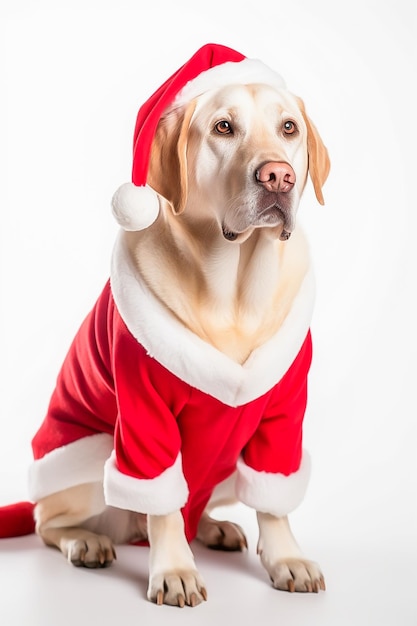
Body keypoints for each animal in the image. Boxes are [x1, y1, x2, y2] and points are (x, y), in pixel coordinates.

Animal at [1, 44, 330, 604]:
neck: (233, 289)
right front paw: (174, 570)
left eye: (288, 127)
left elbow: (274, 499)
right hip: (90, 460)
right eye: (223, 127)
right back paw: (86, 542)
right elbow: (162, 507)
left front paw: (286, 558)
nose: (278, 176)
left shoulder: (284, 408)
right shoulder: (143, 408)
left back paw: (215, 528)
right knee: (52, 521)